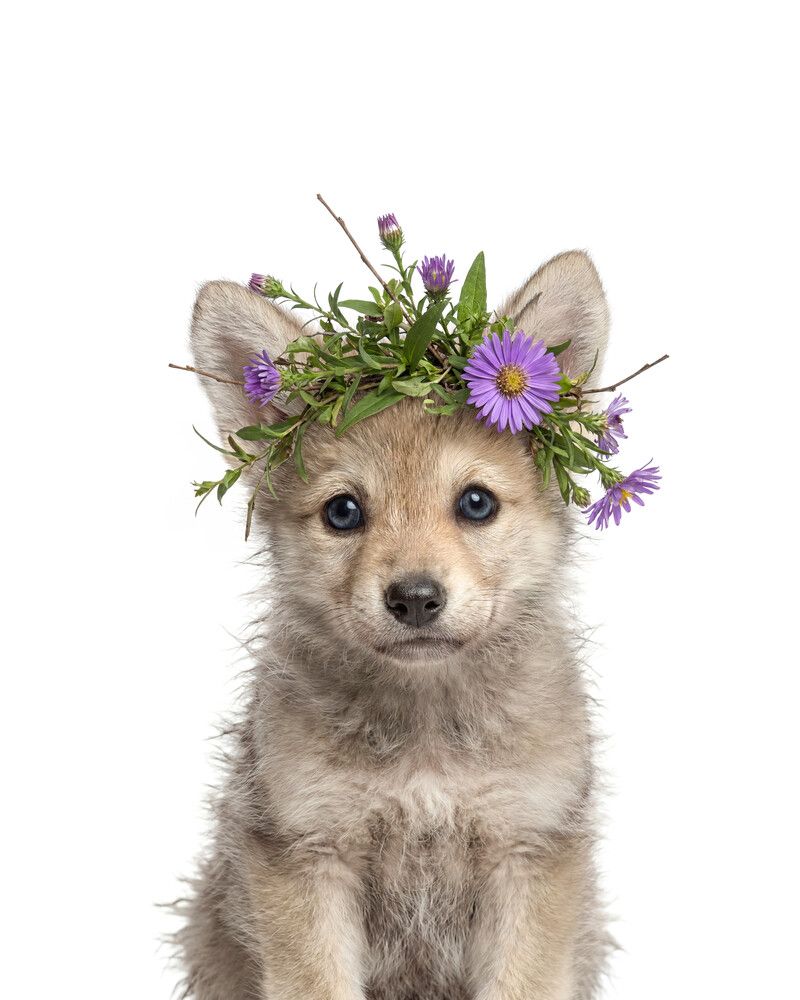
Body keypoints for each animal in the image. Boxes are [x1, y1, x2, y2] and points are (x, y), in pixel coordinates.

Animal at [174, 250, 614, 1000]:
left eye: (476, 503)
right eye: (343, 512)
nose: (414, 598)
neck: (426, 737)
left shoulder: (528, 852)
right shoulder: (307, 856)